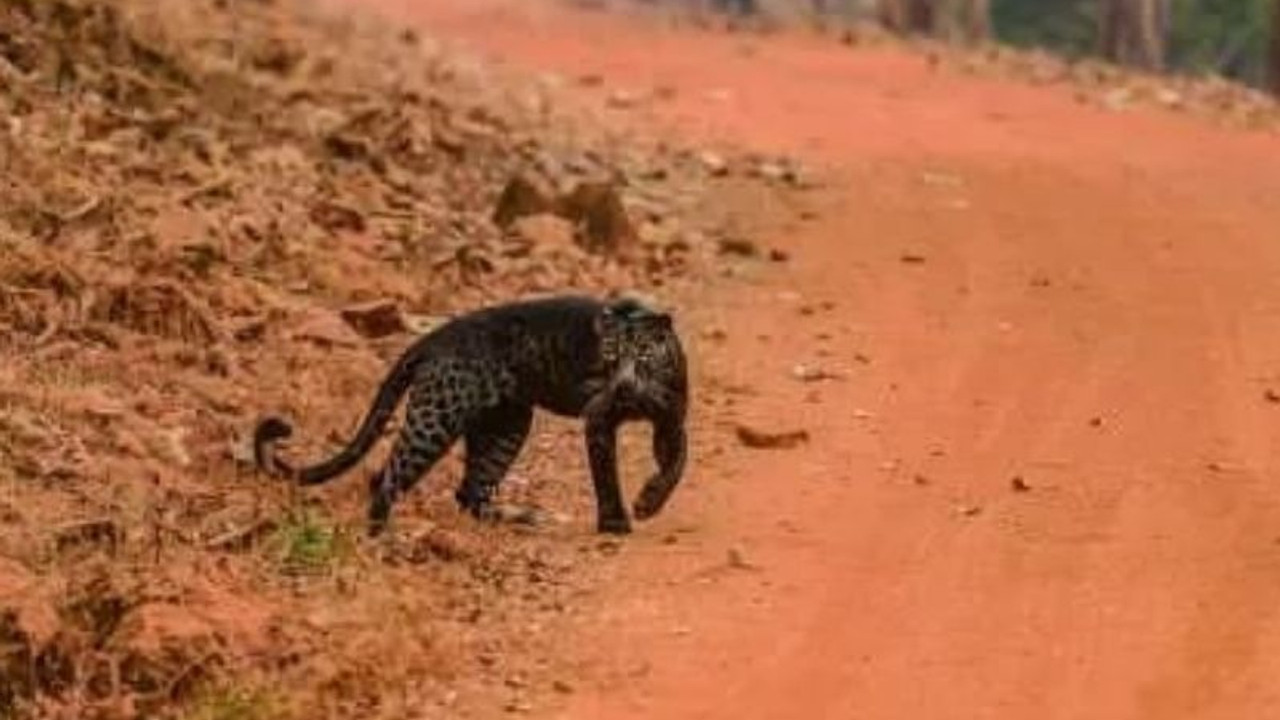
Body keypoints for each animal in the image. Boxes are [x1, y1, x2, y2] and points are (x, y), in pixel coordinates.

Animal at [252, 292, 691, 532]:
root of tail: (432, 338)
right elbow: (607, 477)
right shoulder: (598, 420)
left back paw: (520, 519)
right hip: (438, 418)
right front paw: (616, 523)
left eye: (643, 357)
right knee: (387, 478)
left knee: (469, 491)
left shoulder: (671, 420)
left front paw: (649, 502)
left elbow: (677, 464)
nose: (623, 386)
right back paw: (385, 541)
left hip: (506, 424)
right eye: (610, 359)